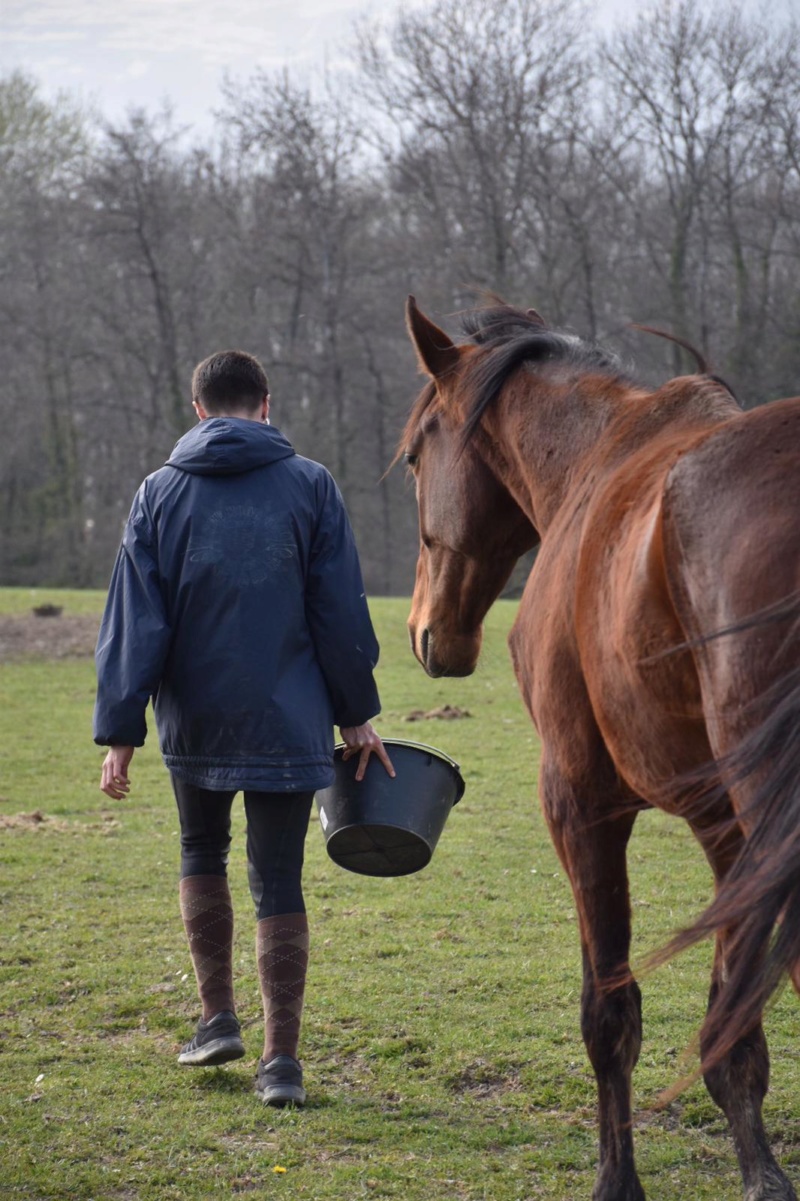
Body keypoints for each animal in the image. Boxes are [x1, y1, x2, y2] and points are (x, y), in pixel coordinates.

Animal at [401, 297, 797, 1201]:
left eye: (411, 457)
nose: (424, 631)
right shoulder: (723, 824)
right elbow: (732, 1016)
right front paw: (759, 1164)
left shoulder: (578, 800)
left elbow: (610, 1013)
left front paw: (619, 1179)